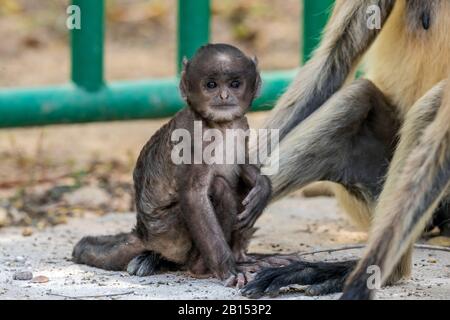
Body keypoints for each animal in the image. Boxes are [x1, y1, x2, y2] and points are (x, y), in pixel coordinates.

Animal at [72, 43, 290, 286]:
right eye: (211, 85)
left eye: (235, 84)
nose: (224, 95)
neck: (221, 126)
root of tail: (143, 233)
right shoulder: (192, 138)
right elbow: (194, 196)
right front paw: (229, 269)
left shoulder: (241, 125)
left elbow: (243, 164)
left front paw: (263, 186)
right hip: (169, 234)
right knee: (220, 188)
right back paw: (201, 267)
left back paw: (242, 257)